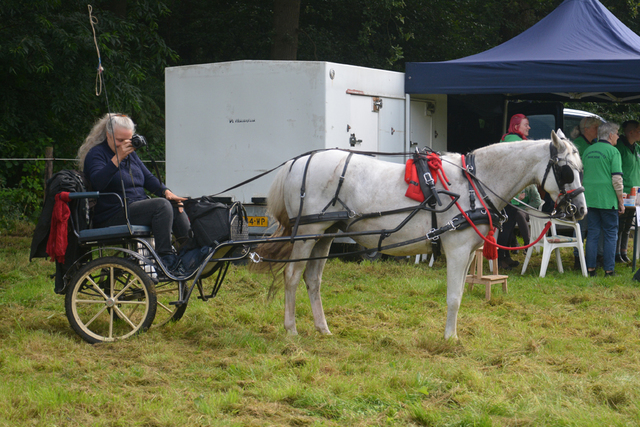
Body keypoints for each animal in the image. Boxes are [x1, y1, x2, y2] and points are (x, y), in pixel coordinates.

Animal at [252, 133, 588, 342]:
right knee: (293, 276)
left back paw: (322, 328)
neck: (474, 182)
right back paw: (291, 330)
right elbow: (453, 297)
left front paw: (453, 335)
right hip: (306, 234)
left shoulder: (469, 252)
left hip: (326, 233)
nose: (581, 210)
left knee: (313, 279)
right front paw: (450, 339)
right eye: (566, 171)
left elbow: (460, 293)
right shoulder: (457, 249)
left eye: (579, 168)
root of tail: (296, 163)